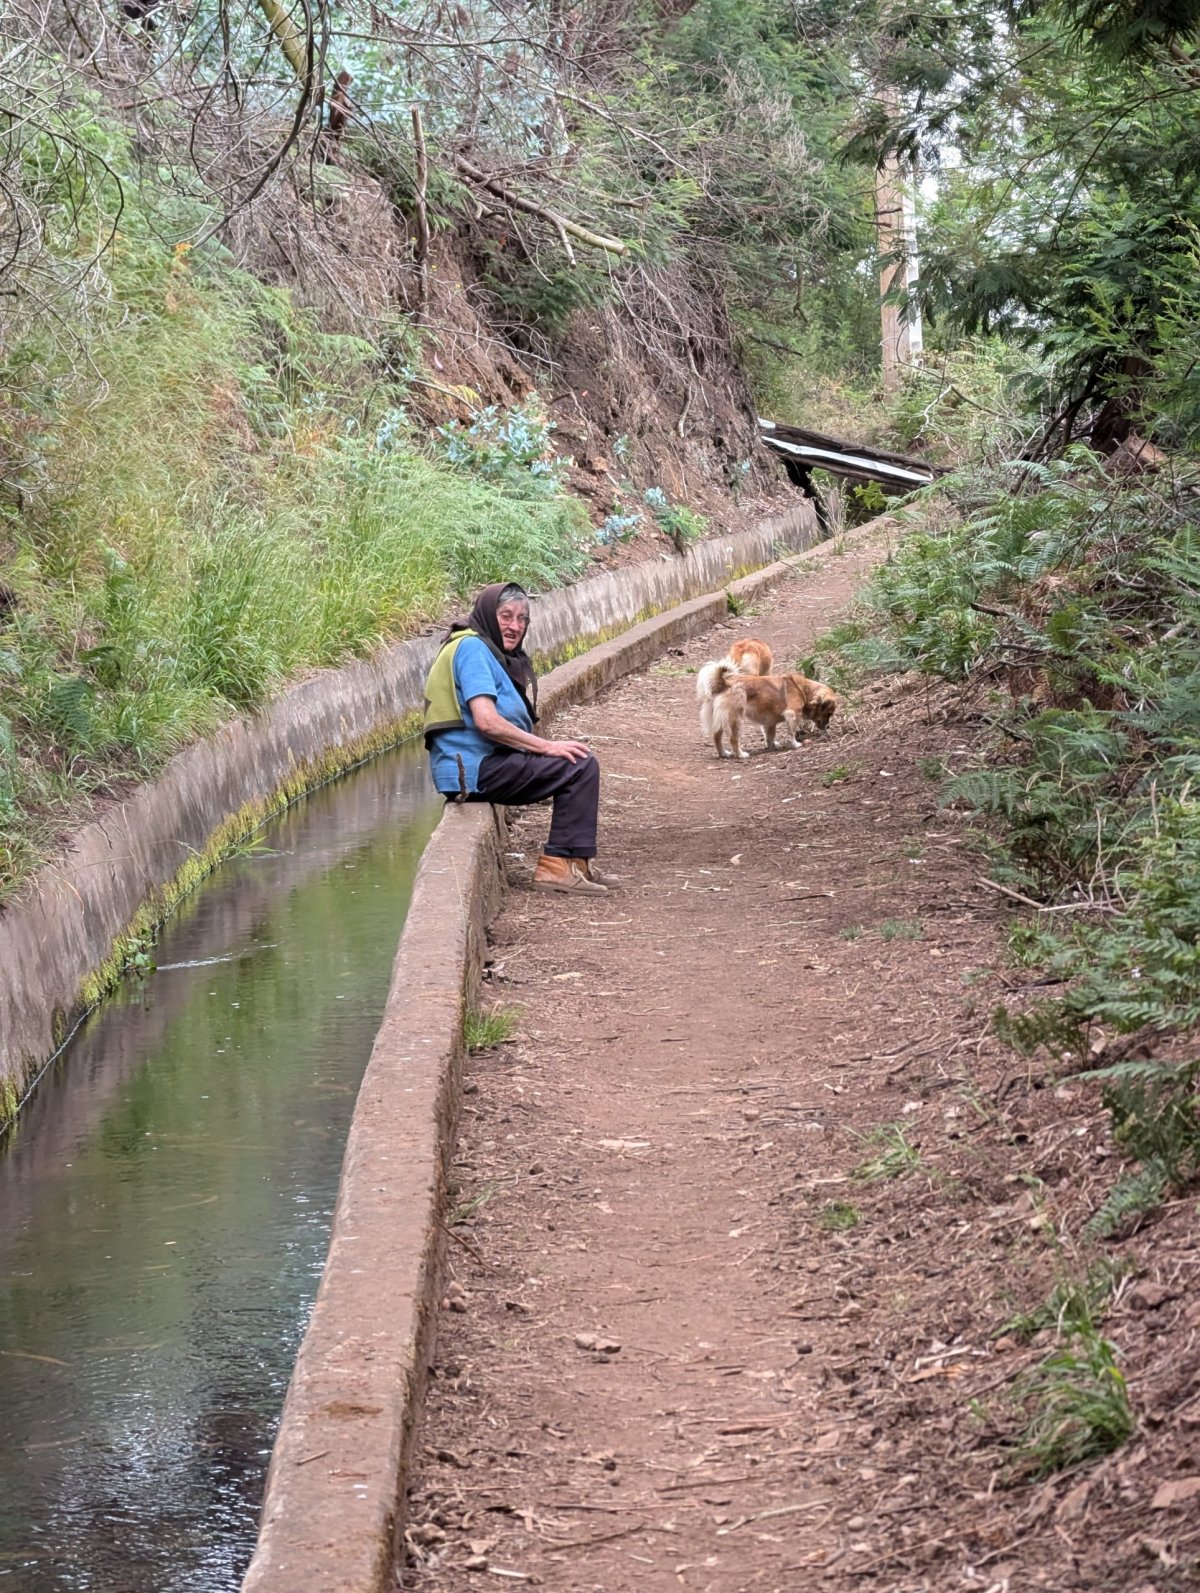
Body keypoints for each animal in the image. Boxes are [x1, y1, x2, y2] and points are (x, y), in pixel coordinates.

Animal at [691, 659, 835, 758]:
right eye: (828, 713)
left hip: (720, 719)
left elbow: (770, 736)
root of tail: (724, 682)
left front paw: (772, 746)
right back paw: (740, 755)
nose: (828, 726)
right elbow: (791, 733)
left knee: (716, 737)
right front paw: (795, 745)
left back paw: (724, 753)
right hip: (736, 720)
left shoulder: (769, 722)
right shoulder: (792, 714)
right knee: (733, 739)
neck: (804, 690)